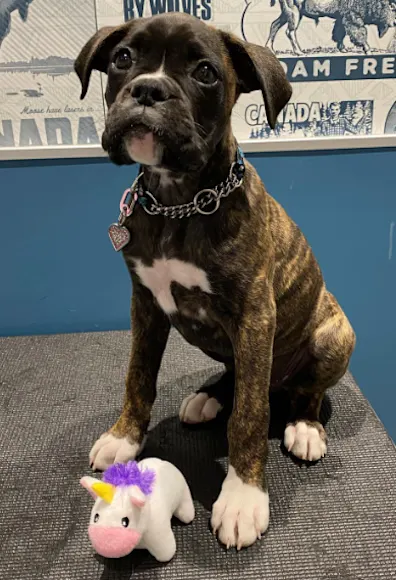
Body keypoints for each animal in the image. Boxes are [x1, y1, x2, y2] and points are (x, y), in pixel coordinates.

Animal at [75, 12, 356, 548]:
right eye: (123, 58)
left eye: (205, 72)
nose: (148, 89)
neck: (179, 201)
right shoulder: (145, 304)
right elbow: (137, 376)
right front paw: (124, 437)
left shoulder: (254, 316)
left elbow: (249, 415)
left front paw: (243, 497)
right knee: (238, 377)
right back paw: (209, 397)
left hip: (334, 335)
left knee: (296, 391)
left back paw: (304, 426)